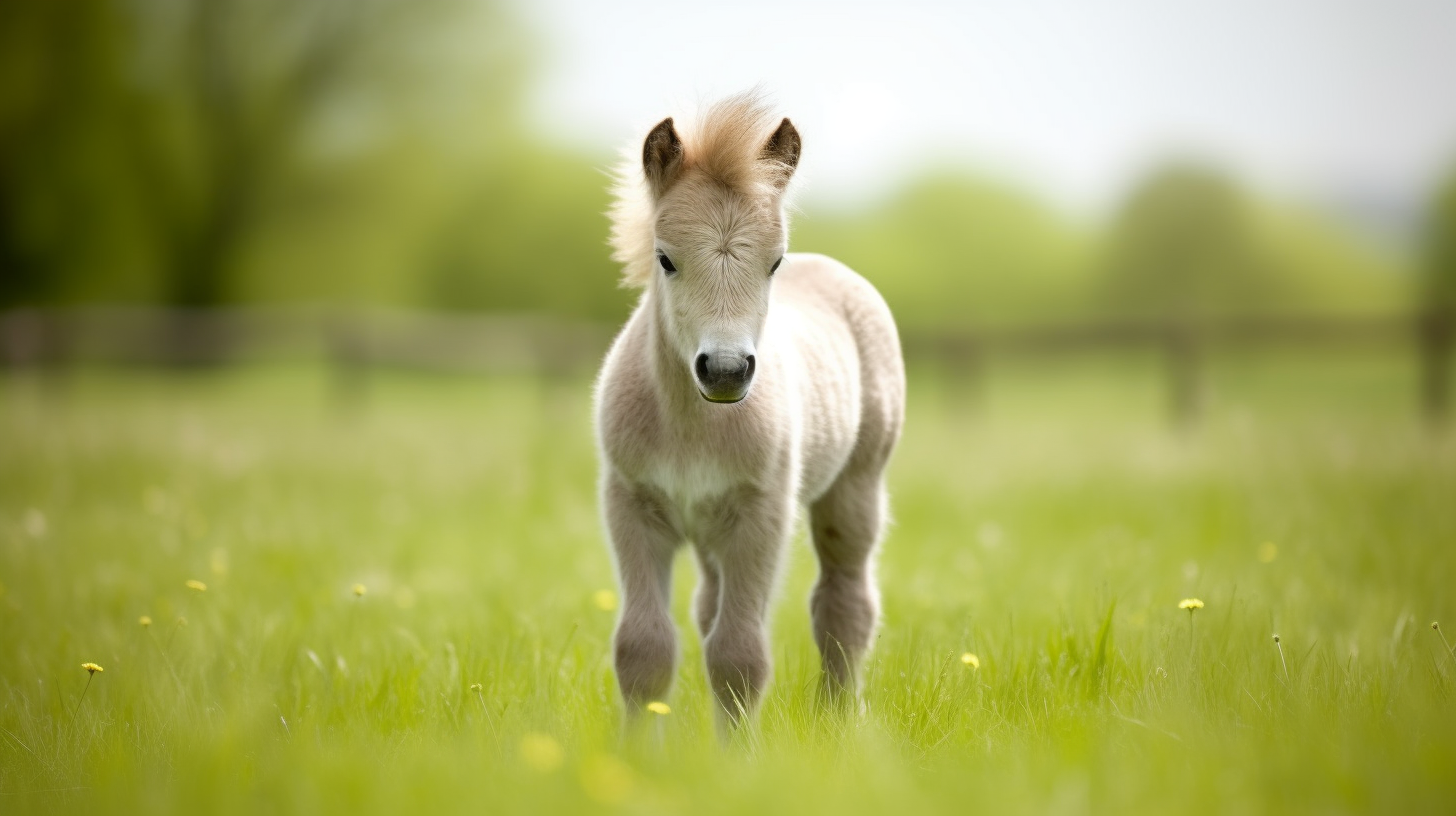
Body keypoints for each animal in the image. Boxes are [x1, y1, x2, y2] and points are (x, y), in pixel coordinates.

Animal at [596, 92, 902, 722]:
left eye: (775, 262)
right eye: (665, 258)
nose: (725, 369)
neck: (691, 426)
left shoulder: (761, 517)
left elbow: (739, 656)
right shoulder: (631, 507)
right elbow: (643, 647)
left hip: (854, 488)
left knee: (844, 603)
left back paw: (839, 718)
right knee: (710, 605)